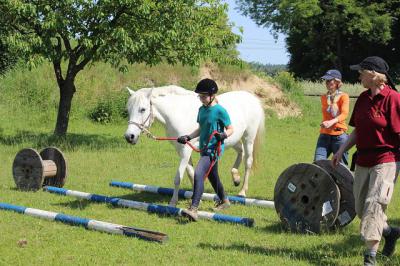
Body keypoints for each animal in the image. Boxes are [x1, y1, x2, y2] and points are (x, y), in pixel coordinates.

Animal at [123, 85, 264, 206]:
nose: (129, 137)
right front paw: (197, 198)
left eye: (143, 109)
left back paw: (242, 191)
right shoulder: (182, 150)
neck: (178, 113)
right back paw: (235, 178)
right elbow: (191, 173)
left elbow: (178, 177)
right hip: (231, 139)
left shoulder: (185, 151)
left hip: (248, 138)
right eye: (128, 110)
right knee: (240, 152)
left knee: (248, 161)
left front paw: (173, 202)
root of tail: (252, 98)